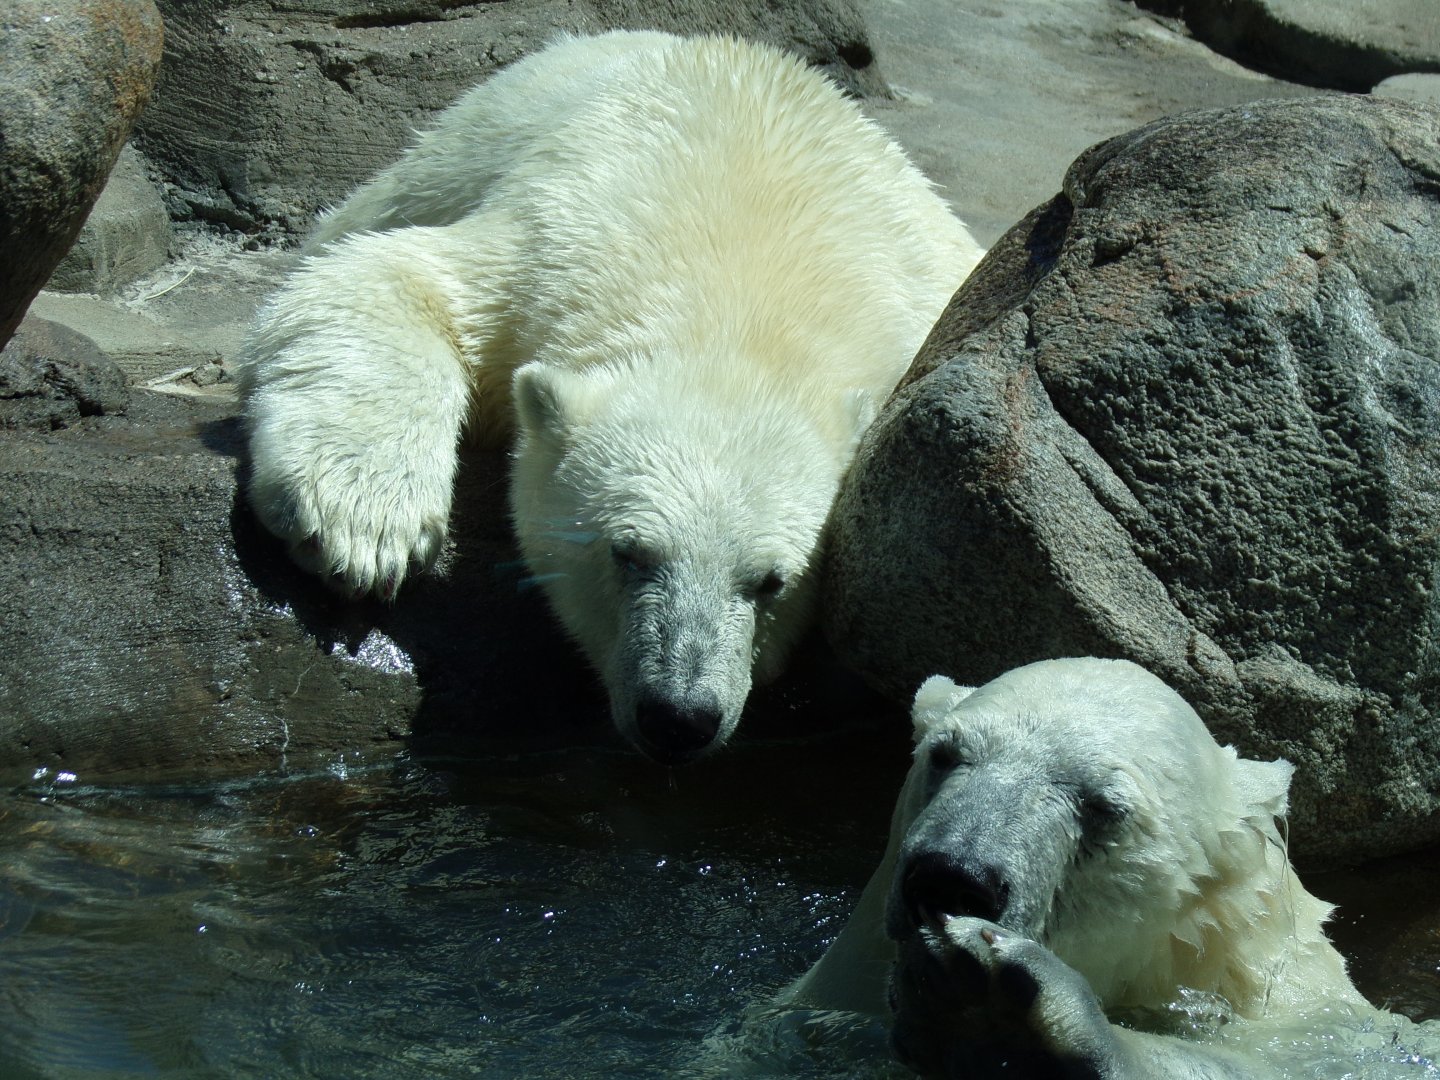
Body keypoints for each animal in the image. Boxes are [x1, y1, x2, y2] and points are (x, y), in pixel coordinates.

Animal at [236, 31, 984, 765]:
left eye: (773, 581)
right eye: (628, 554)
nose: (679, 717)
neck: (735, 305)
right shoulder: (543, 245)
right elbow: (384, 277)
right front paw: (361, 524)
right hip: (459, 147)